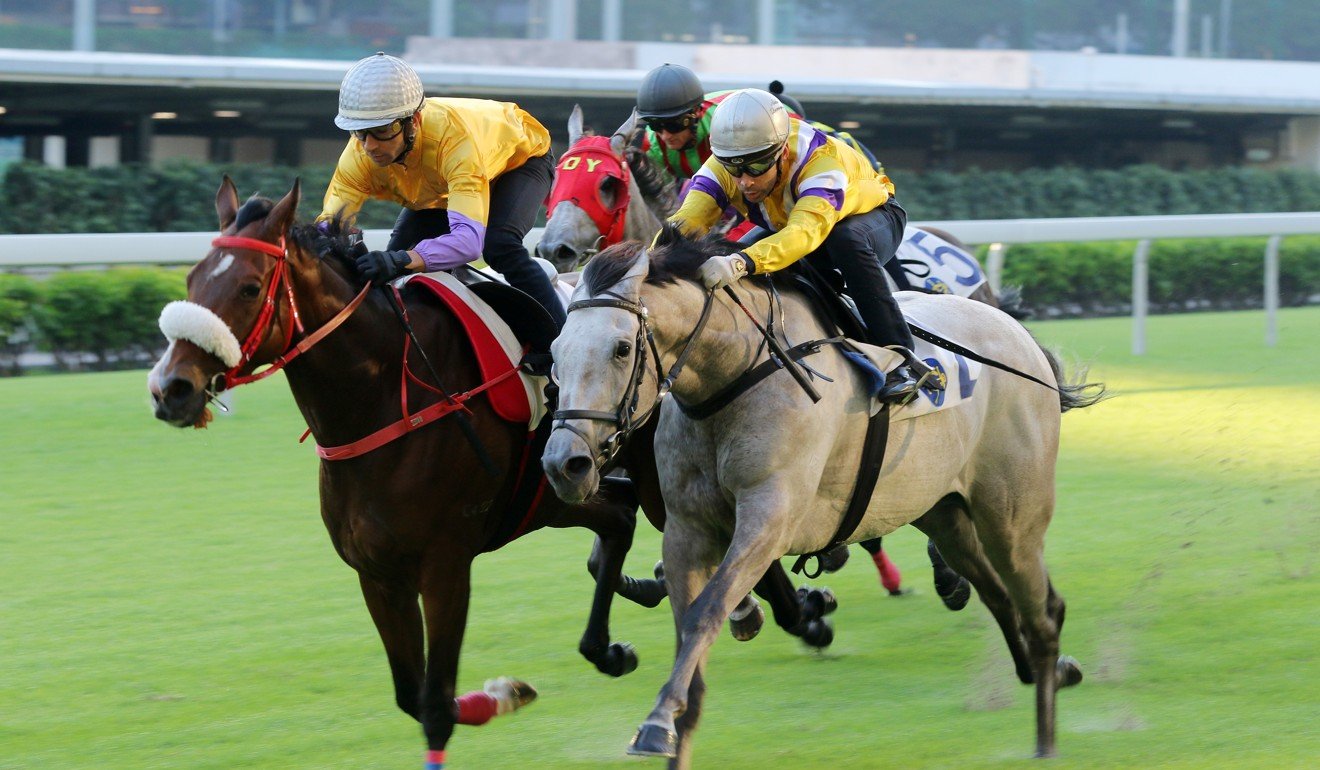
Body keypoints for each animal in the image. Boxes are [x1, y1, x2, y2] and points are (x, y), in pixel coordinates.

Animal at [541, 231, 1108, 766]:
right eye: (554, 353)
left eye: (621, 348)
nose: (565, 463)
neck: (734, 375)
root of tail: (1017, 334)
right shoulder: (687, 528)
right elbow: (691, 634)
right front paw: (671, 726)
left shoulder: (769, 518)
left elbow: (708, 610)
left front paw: (658, 722)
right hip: (943, 513)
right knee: (998, 593)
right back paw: (1051, 673)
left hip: (1012, 516)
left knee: (1042, 611)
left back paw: (1047, 735)